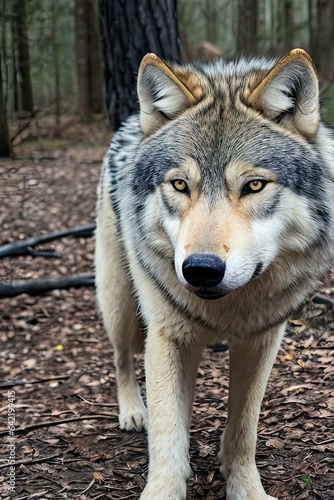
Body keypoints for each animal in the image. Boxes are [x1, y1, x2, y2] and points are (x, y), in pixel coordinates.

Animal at [95, 47, 334, 500]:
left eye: (254, 186)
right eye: (180, 185)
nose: (200, 270)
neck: (227, 312)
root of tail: (132, 122)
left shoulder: (262, 340)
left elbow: (243, 429)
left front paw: (245, 487)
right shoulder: (167, 337)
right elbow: (168, 435)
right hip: (119, 303)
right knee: (120, 358)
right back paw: (134, 412)